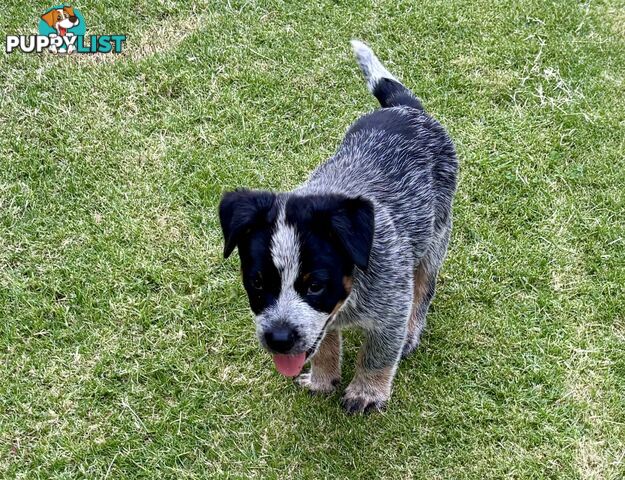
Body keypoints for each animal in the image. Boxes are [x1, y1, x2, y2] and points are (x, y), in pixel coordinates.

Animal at [219, 40, 458, 412]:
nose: (278, 338)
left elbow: (377, 354)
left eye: (316, 285)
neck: (350, 295)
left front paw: (367, 391)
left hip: (436, 237)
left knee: (423, 288)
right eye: (257, 282)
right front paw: (323, 378)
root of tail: (406, 108)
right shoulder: (322, 323)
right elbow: (325, 341)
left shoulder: (391, 307)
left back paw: (412, 332)